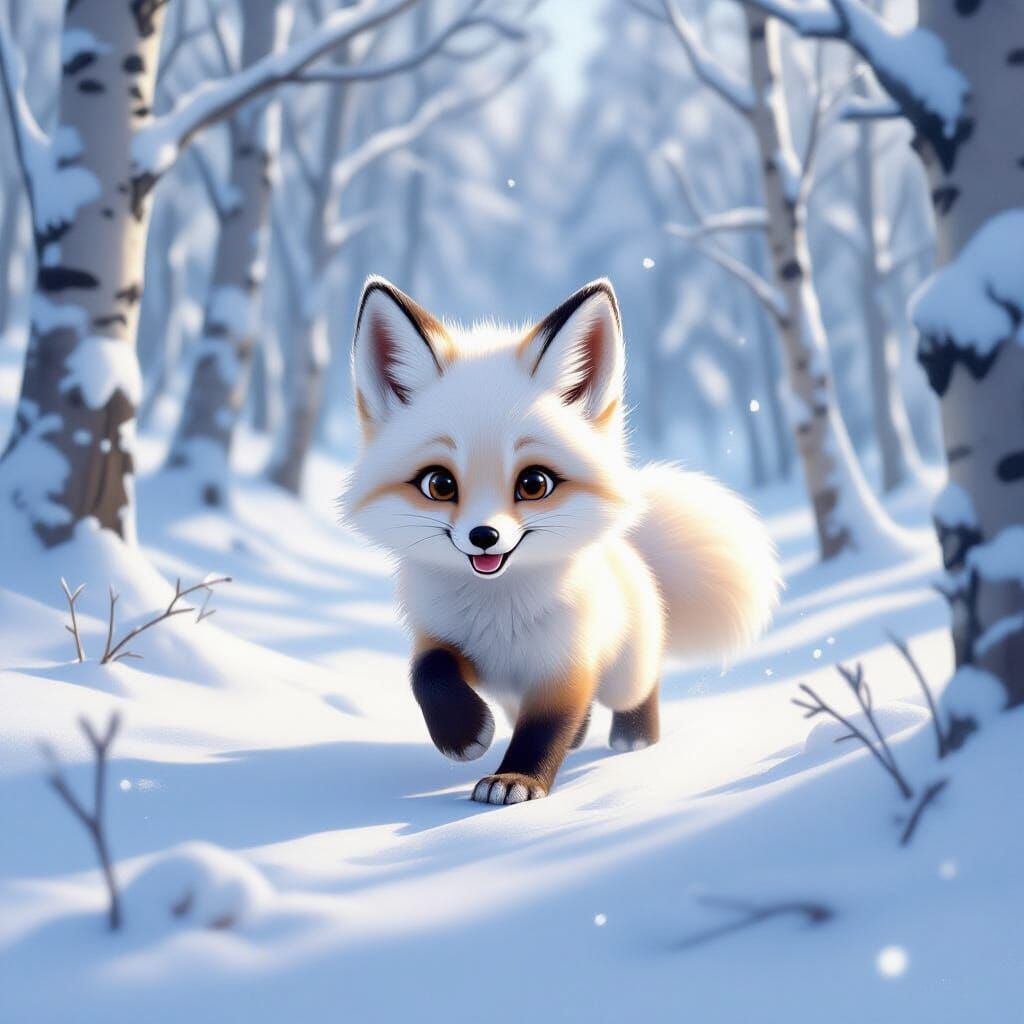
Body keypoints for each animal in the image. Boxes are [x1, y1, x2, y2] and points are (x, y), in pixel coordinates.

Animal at [341, 276, 780, 806]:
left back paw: (636, 737)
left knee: (636, 688)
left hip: (624, 675)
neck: (500, 615)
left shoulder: (565, 666)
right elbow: (428, 675)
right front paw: (464, 735)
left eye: (534, 484)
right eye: (439, 485)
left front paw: (516, 780)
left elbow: (545, 729)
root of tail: (634, 556)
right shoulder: (440, 638)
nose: (484, 537)